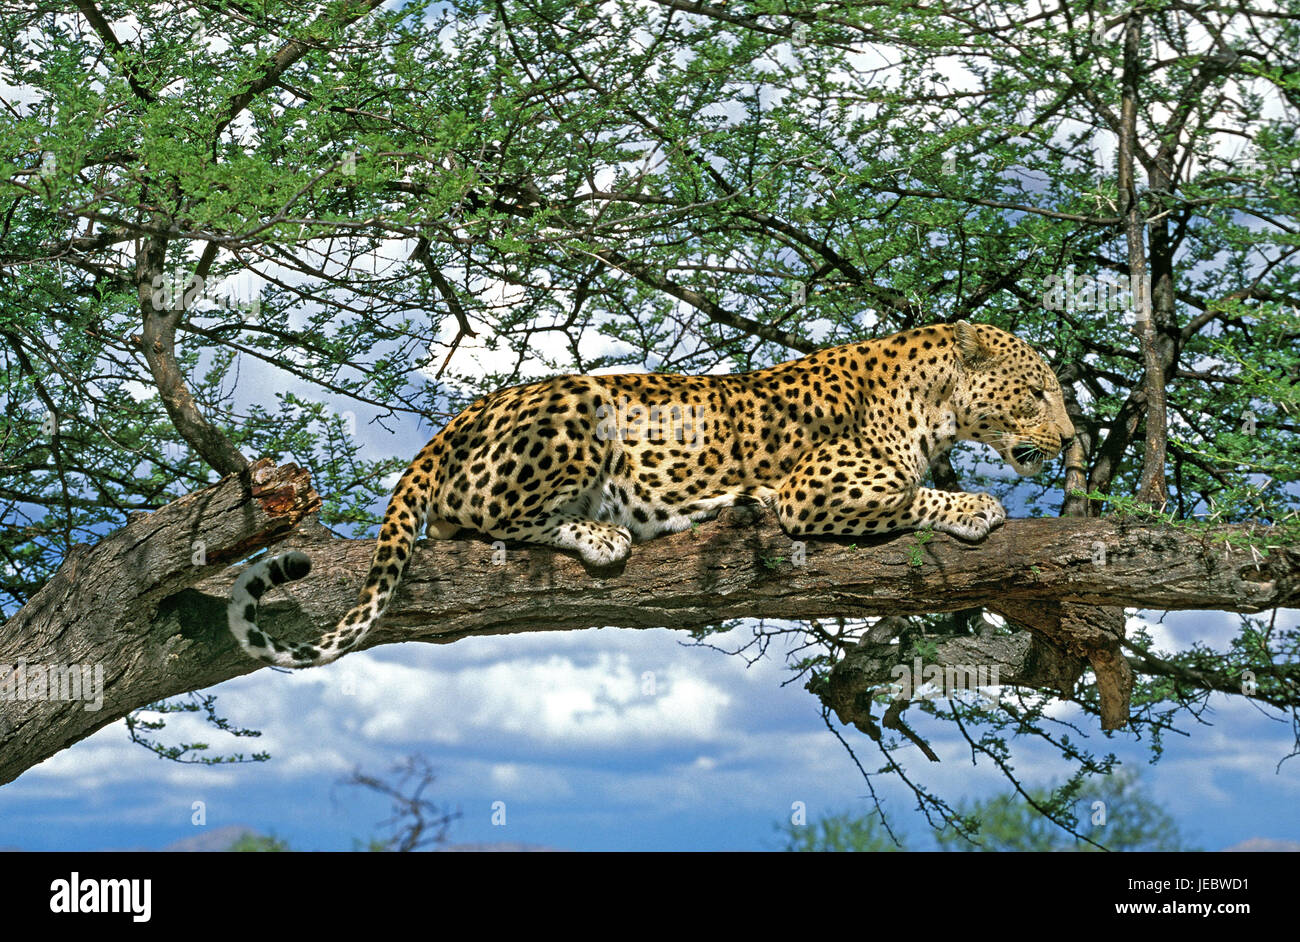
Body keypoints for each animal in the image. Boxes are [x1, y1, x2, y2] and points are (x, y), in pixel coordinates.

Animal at [229, 320, 1074, 668]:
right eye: (1037, 391)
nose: (1070, 441)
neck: (934, 402)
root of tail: (450, 423)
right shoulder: (814, 487)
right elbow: (907, 491)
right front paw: (975, 507)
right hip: (576, 411)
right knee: (490, 519)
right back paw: (603, 532)